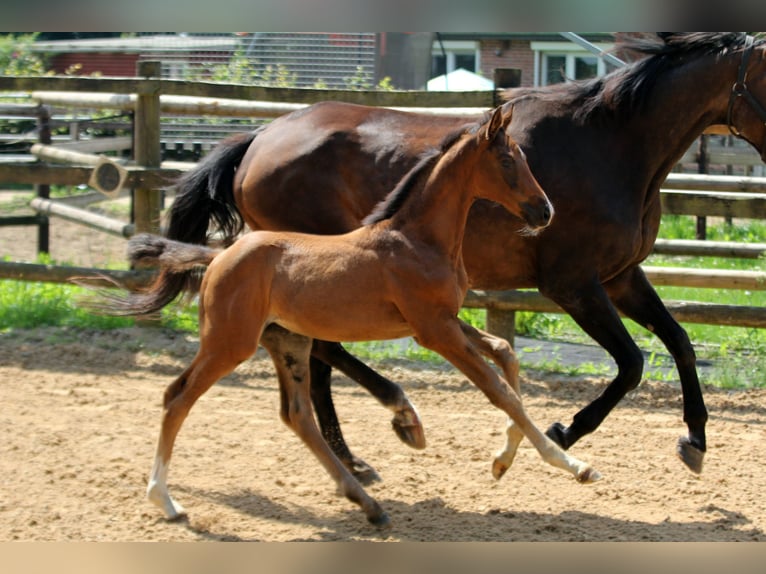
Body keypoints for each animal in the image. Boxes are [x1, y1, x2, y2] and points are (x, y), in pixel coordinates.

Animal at [110, 107, 596, 526]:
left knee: (297, 415)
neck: (417, 239)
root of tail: (217, 257)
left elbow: (505, 352)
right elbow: (500, 391)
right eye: (508, 160)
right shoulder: (434, 331)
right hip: (230, 342)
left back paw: (370, 504)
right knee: (177, 397)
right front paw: (574, 465)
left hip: (287, 341)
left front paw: (502, 461)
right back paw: (165, 500)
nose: (545, 211)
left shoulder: (443, 320)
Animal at [162, 32, 766, 482]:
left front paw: (695, 440)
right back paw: (393, 418)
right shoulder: (572, 283)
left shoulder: (620, 277)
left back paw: (354, 456)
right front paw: (562, 433)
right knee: (323, 352)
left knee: (317, 357)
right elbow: (633, 363)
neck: (610, 145)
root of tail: (259, 137)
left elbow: (680, 342)